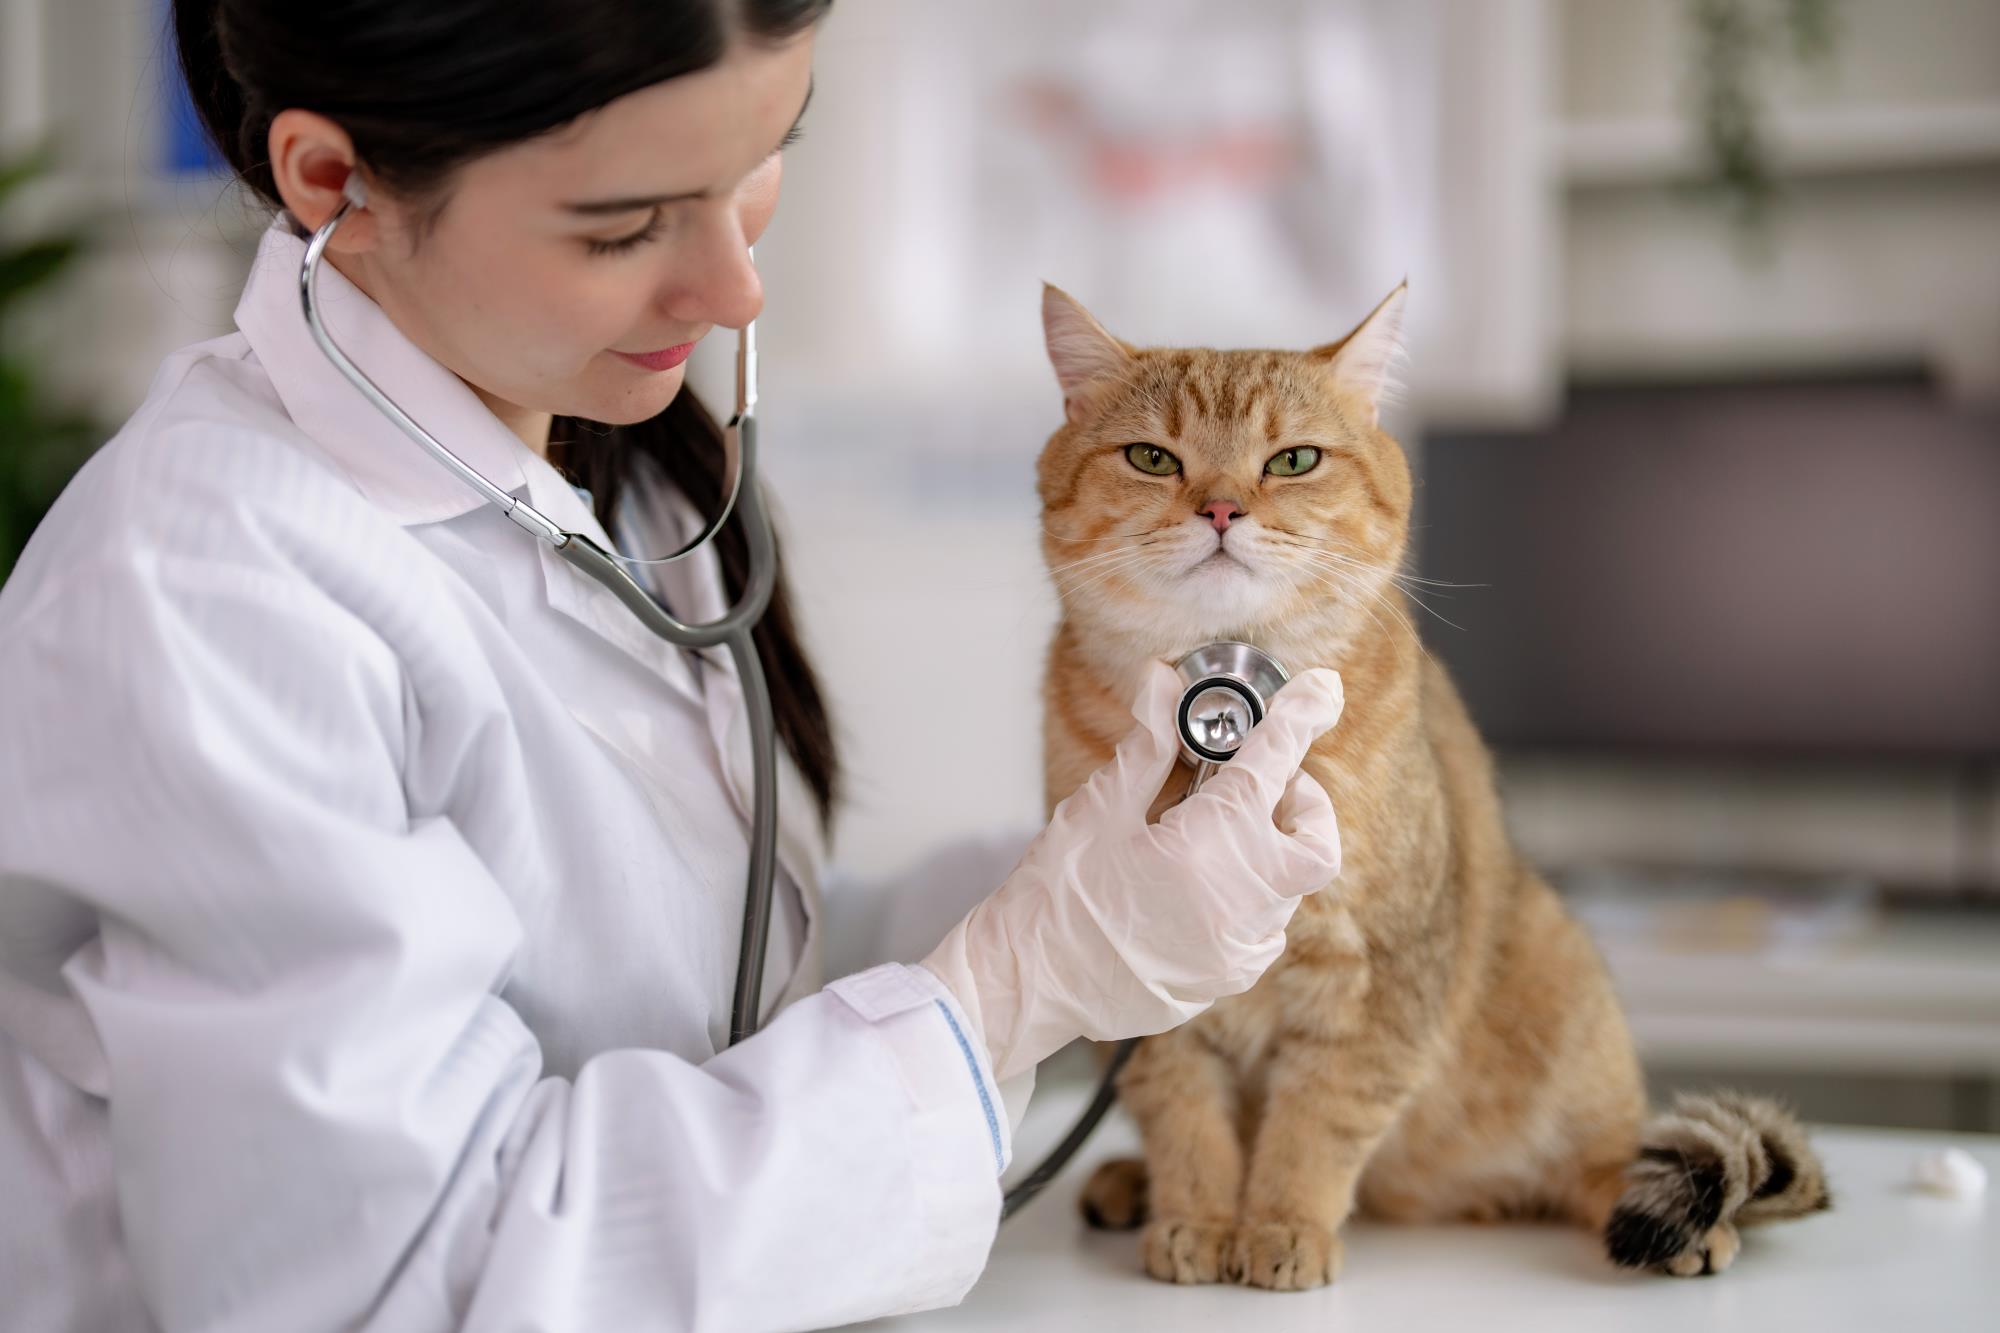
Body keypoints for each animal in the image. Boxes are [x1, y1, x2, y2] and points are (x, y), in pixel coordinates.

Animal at [1032, 282, 1832, 1288]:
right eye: (1151, 456)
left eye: (1293, 459)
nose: (1220, 509)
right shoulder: (1144, 979)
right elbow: (1185, 1112)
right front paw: (1199, 1217)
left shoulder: (1384, 976)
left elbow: (1317, 1120)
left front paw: (1281, 1224)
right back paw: (1128, 1182)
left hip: (1563, 999)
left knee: (1608, 1157)